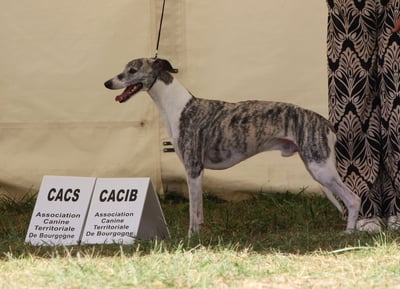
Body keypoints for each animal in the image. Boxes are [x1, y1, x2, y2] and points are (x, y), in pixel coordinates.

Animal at [104, 57, 360, 235]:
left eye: (132, 70)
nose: (107, 82)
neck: (178, 106)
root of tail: (325, 122)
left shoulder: (193, 168)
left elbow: (193, 209)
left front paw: (191, 238)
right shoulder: (196, 170)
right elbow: (199, 212)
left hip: (321, 168)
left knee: (353, 198)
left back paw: (349, 233)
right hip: (315, 166)